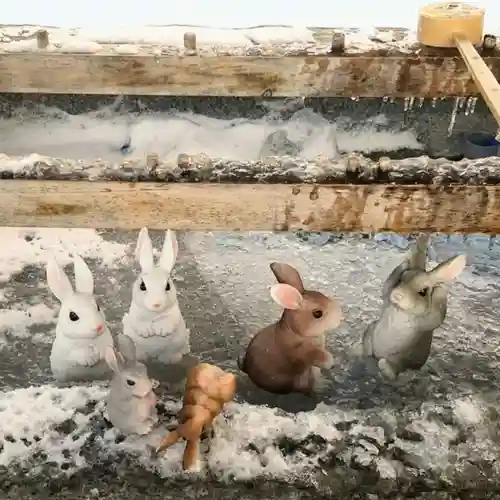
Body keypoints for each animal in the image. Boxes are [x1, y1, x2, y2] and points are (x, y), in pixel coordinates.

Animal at [122, 229, 190, 366]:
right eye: (142, 286)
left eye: (168, 286)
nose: (156, 304)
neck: (153, 313)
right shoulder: (134, 313)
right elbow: (139, 322)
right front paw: (148, 332)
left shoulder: (174, 313)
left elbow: (169, 321)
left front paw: (160, 330)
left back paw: (169, 359)